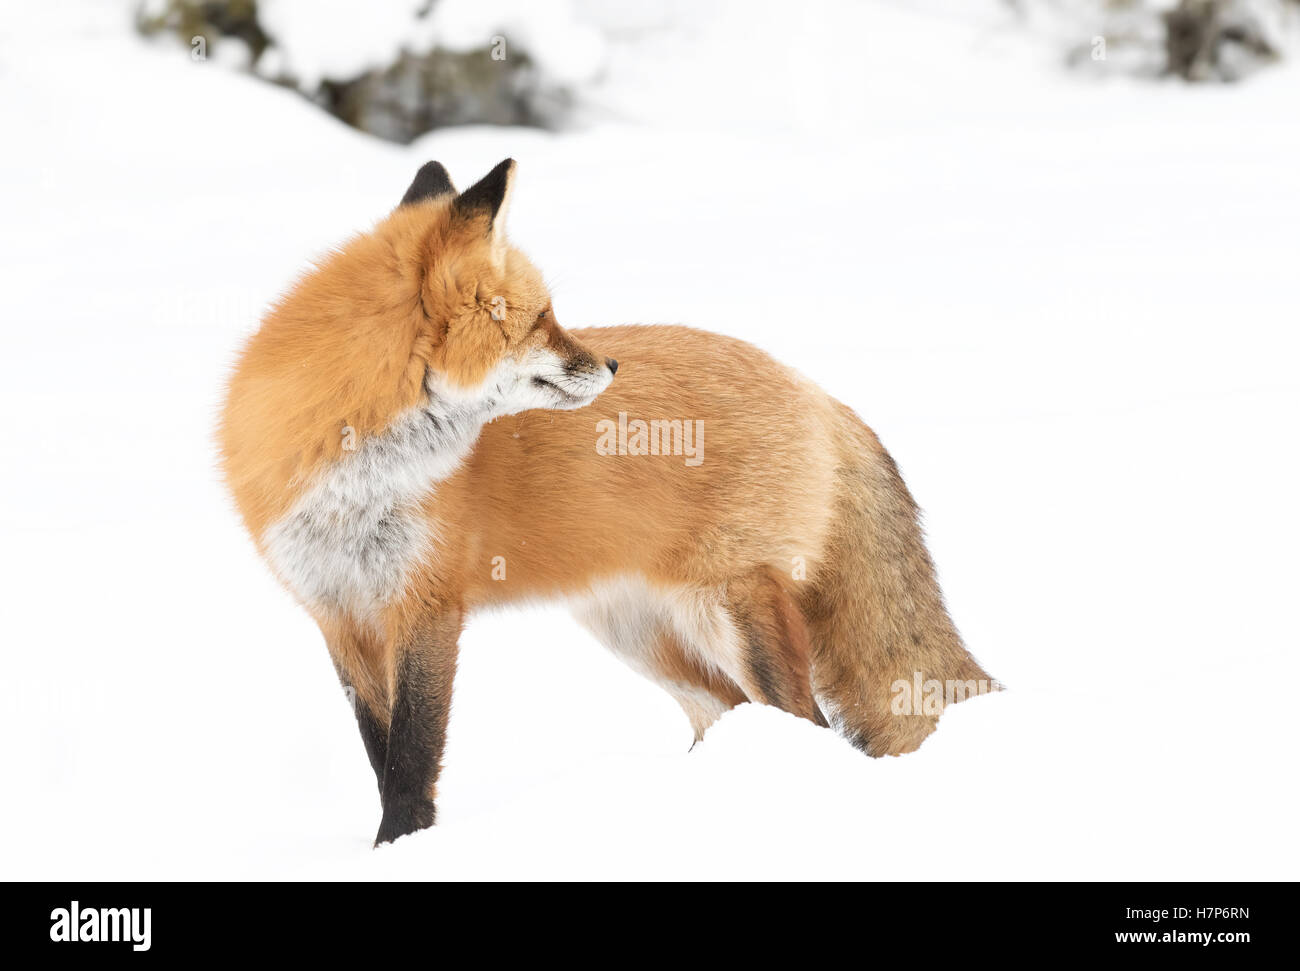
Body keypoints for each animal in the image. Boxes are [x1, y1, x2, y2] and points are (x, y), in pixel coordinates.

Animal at [218, 159, 996, 845]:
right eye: (543, 318)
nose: (612, 365)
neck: (359, 469)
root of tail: (813, 387)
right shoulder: (338, 614)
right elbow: (380, 754)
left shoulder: (426, 605)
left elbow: (412, 758)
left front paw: (404, 848)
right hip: (641, 633)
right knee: (730, 712)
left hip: (728, 610)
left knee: (807, 722)